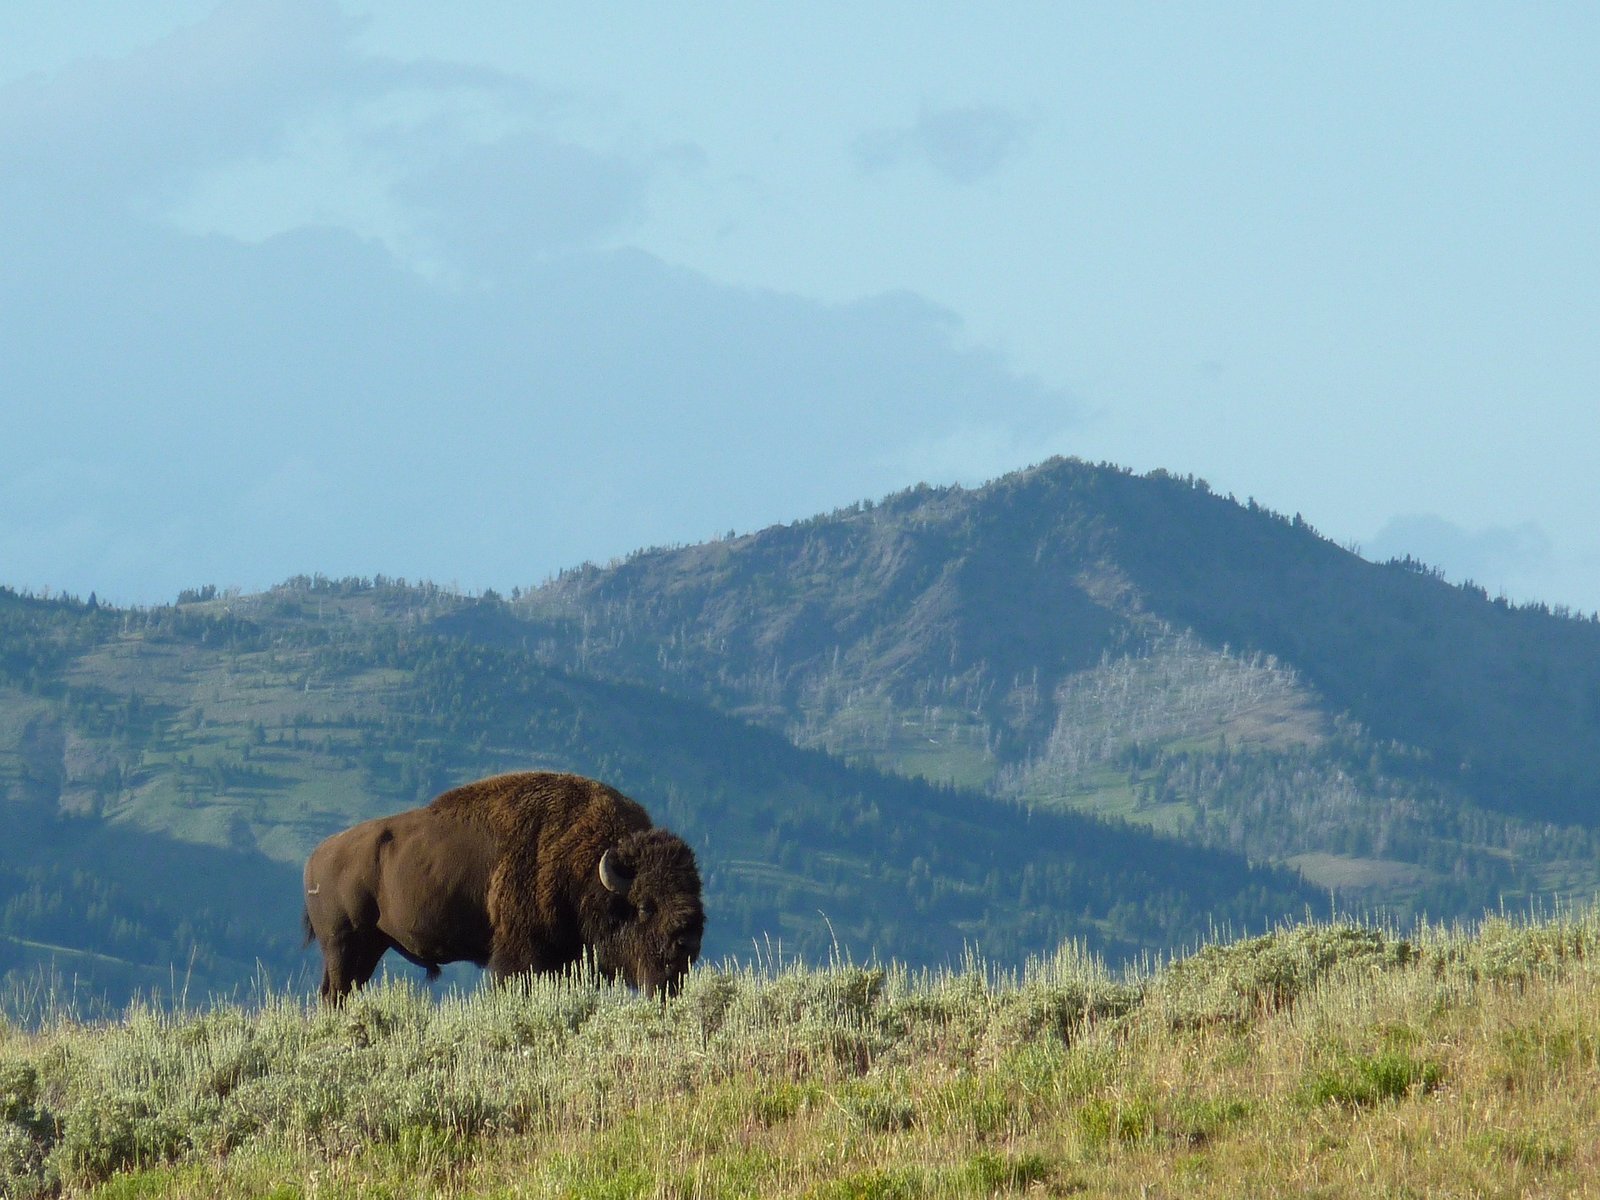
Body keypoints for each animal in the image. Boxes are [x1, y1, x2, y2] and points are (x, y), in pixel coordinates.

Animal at [300, 771, 700, 1004]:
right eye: (646, 906)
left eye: (695, 896)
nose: (687, 944)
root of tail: (317, 856)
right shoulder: (520, 957)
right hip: (343, 944)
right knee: (334, 993)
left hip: (369, 947)